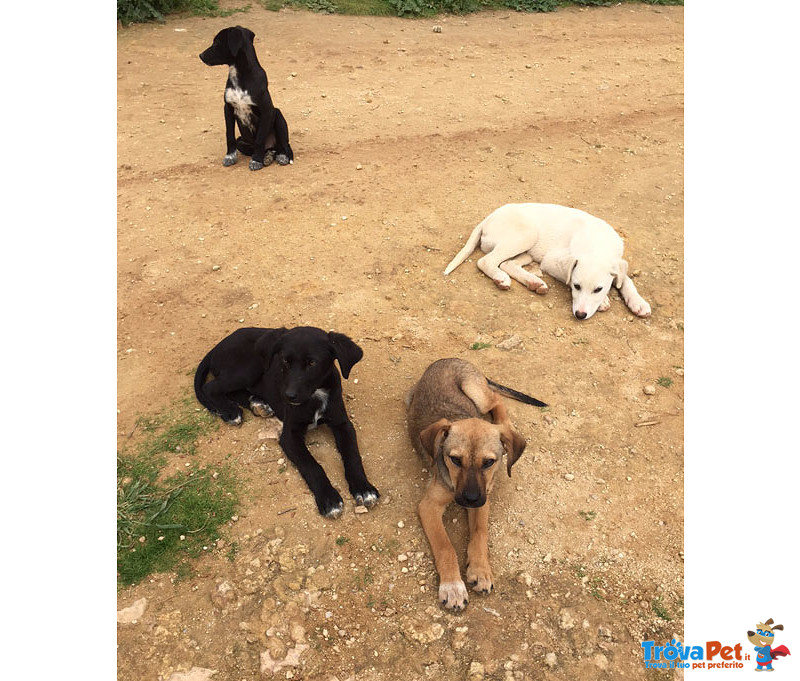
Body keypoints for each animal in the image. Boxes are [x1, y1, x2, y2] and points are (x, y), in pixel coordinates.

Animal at [195, 326, 380, 516]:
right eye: (284, 361)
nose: (288, 396)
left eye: (312, 363)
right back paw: (230, 411)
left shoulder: (343, 425)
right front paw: (329, 499)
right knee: (210, 388)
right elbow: (311, 465)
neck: (315, 395)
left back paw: (258, 403)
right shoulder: (290, 435)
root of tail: (220, 344)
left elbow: (353, 455)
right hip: (249, 369)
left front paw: (364, 488)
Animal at [198, 26, 294, 170]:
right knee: (267, 149)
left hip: (277, 115)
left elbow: (260, 139)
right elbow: (229, 135)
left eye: (217, 42)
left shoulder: (267, 111)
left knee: (283, 144)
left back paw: (280, 156)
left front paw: (256, 160)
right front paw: (230, 156)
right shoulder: (228, 108)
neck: (240, 76)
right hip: (242, 141)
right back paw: (267, 156)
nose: (201, 55)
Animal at [406, 358, 544, 608]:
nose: (469, 499)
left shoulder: (484, 497)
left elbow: (480, 533)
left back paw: (505, 426)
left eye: (489, 462)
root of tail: (449, 358)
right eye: (454, 459)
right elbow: (445, 546)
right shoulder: (429, 506)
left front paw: (480, 570)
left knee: (495, 399)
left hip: (475, 390)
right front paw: (452, 587)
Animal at [440, 201, 652, 320]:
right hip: (526, 235)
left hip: (527, 251)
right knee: (486, 261)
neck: (596, 243)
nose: (580, 315)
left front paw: (638, 302)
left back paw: (535, 283)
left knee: (508, 263)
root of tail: (488, 218)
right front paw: (604, 302)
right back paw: (501, 279)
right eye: (576, 286)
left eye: (598, 288)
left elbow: (626, 281)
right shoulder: (552, 261)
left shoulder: (618, 263)